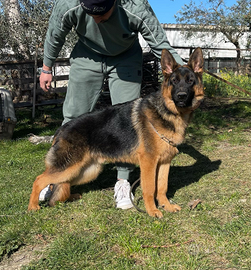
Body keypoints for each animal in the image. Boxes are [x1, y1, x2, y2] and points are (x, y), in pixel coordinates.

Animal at [28, 47, 204, 218]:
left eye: (190, 81)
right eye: (174, 81)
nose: (181, 96)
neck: (167, 112)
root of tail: (61, 130)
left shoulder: (165, 162)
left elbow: (161, 187)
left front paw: (166, 206)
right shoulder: (149, 163)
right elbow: (149, 188)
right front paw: (152, 211)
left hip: (86, 171)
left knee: (63, 183)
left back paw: (68, 197)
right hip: (69, 167)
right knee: (39, 180)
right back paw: (33, 207)